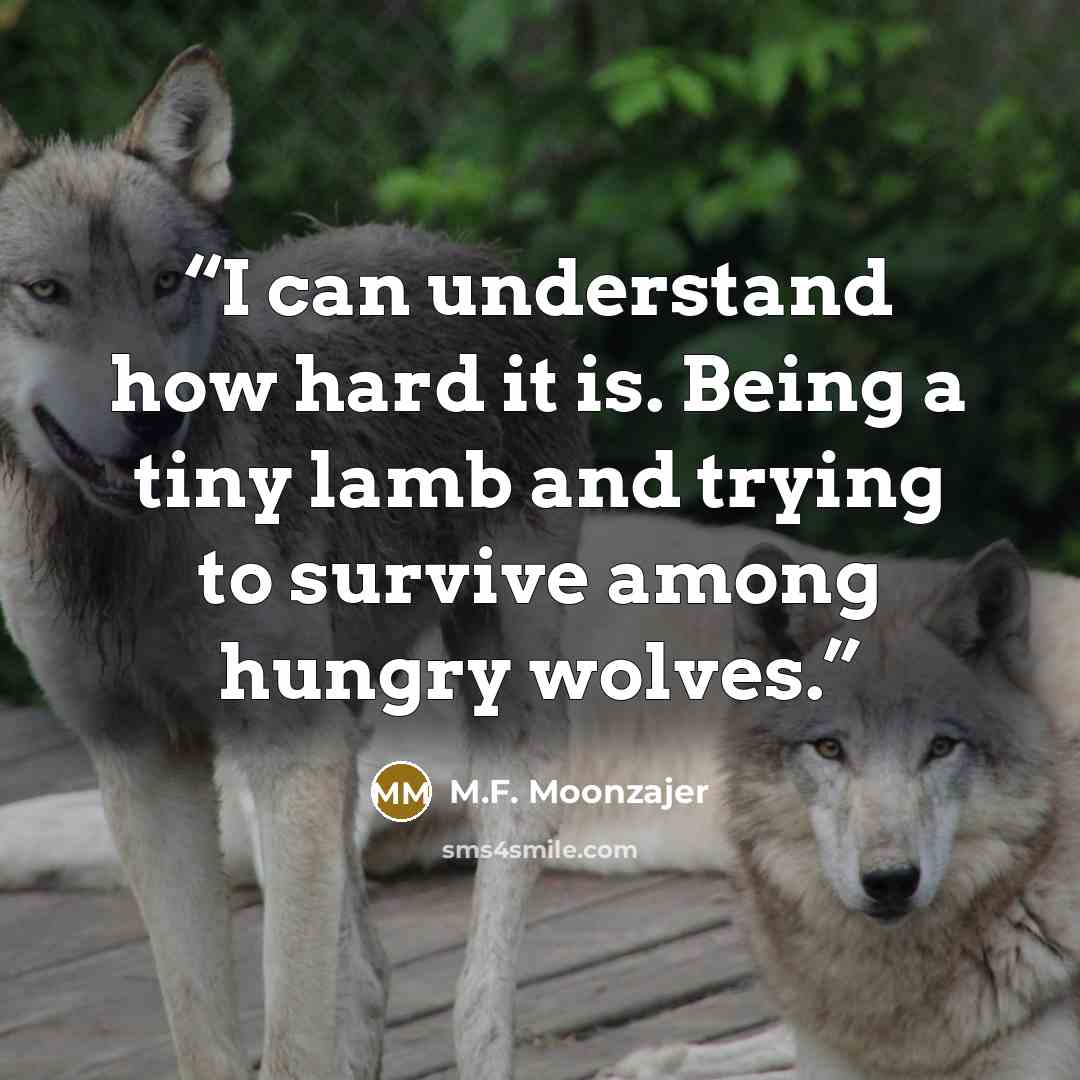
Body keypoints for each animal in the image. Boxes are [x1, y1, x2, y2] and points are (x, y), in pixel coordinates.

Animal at [0, 45, 587, 1080]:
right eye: (47, 291)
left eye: (165, 282)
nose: (151, 418)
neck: (129, 560)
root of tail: (467, 252)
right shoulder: (145, 766)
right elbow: (207, 1028)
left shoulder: (283, 752)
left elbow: (293, 1030)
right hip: (328, 741)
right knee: (371, 973)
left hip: (496, 708)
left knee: (477, 985)